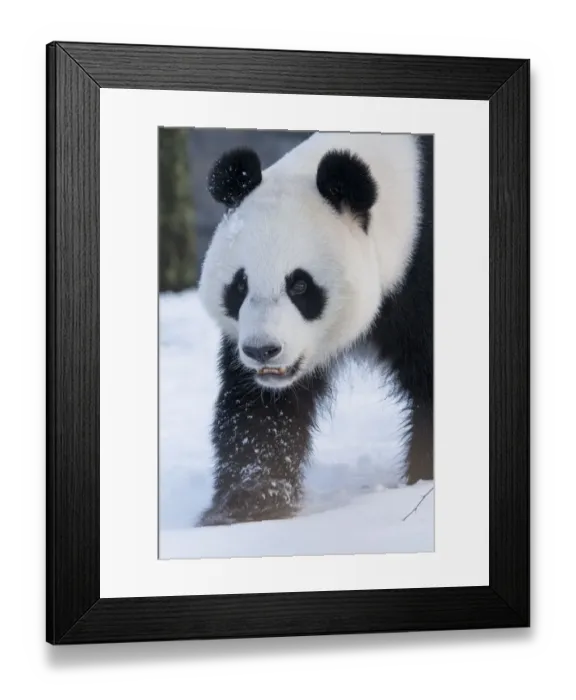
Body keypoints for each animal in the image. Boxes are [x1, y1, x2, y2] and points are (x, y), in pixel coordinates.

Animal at [196, 131, 433, 527]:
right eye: (239, 285)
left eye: (300, 285)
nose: (263, 351)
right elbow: (261, 409)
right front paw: (247, 507)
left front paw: (422, 481)